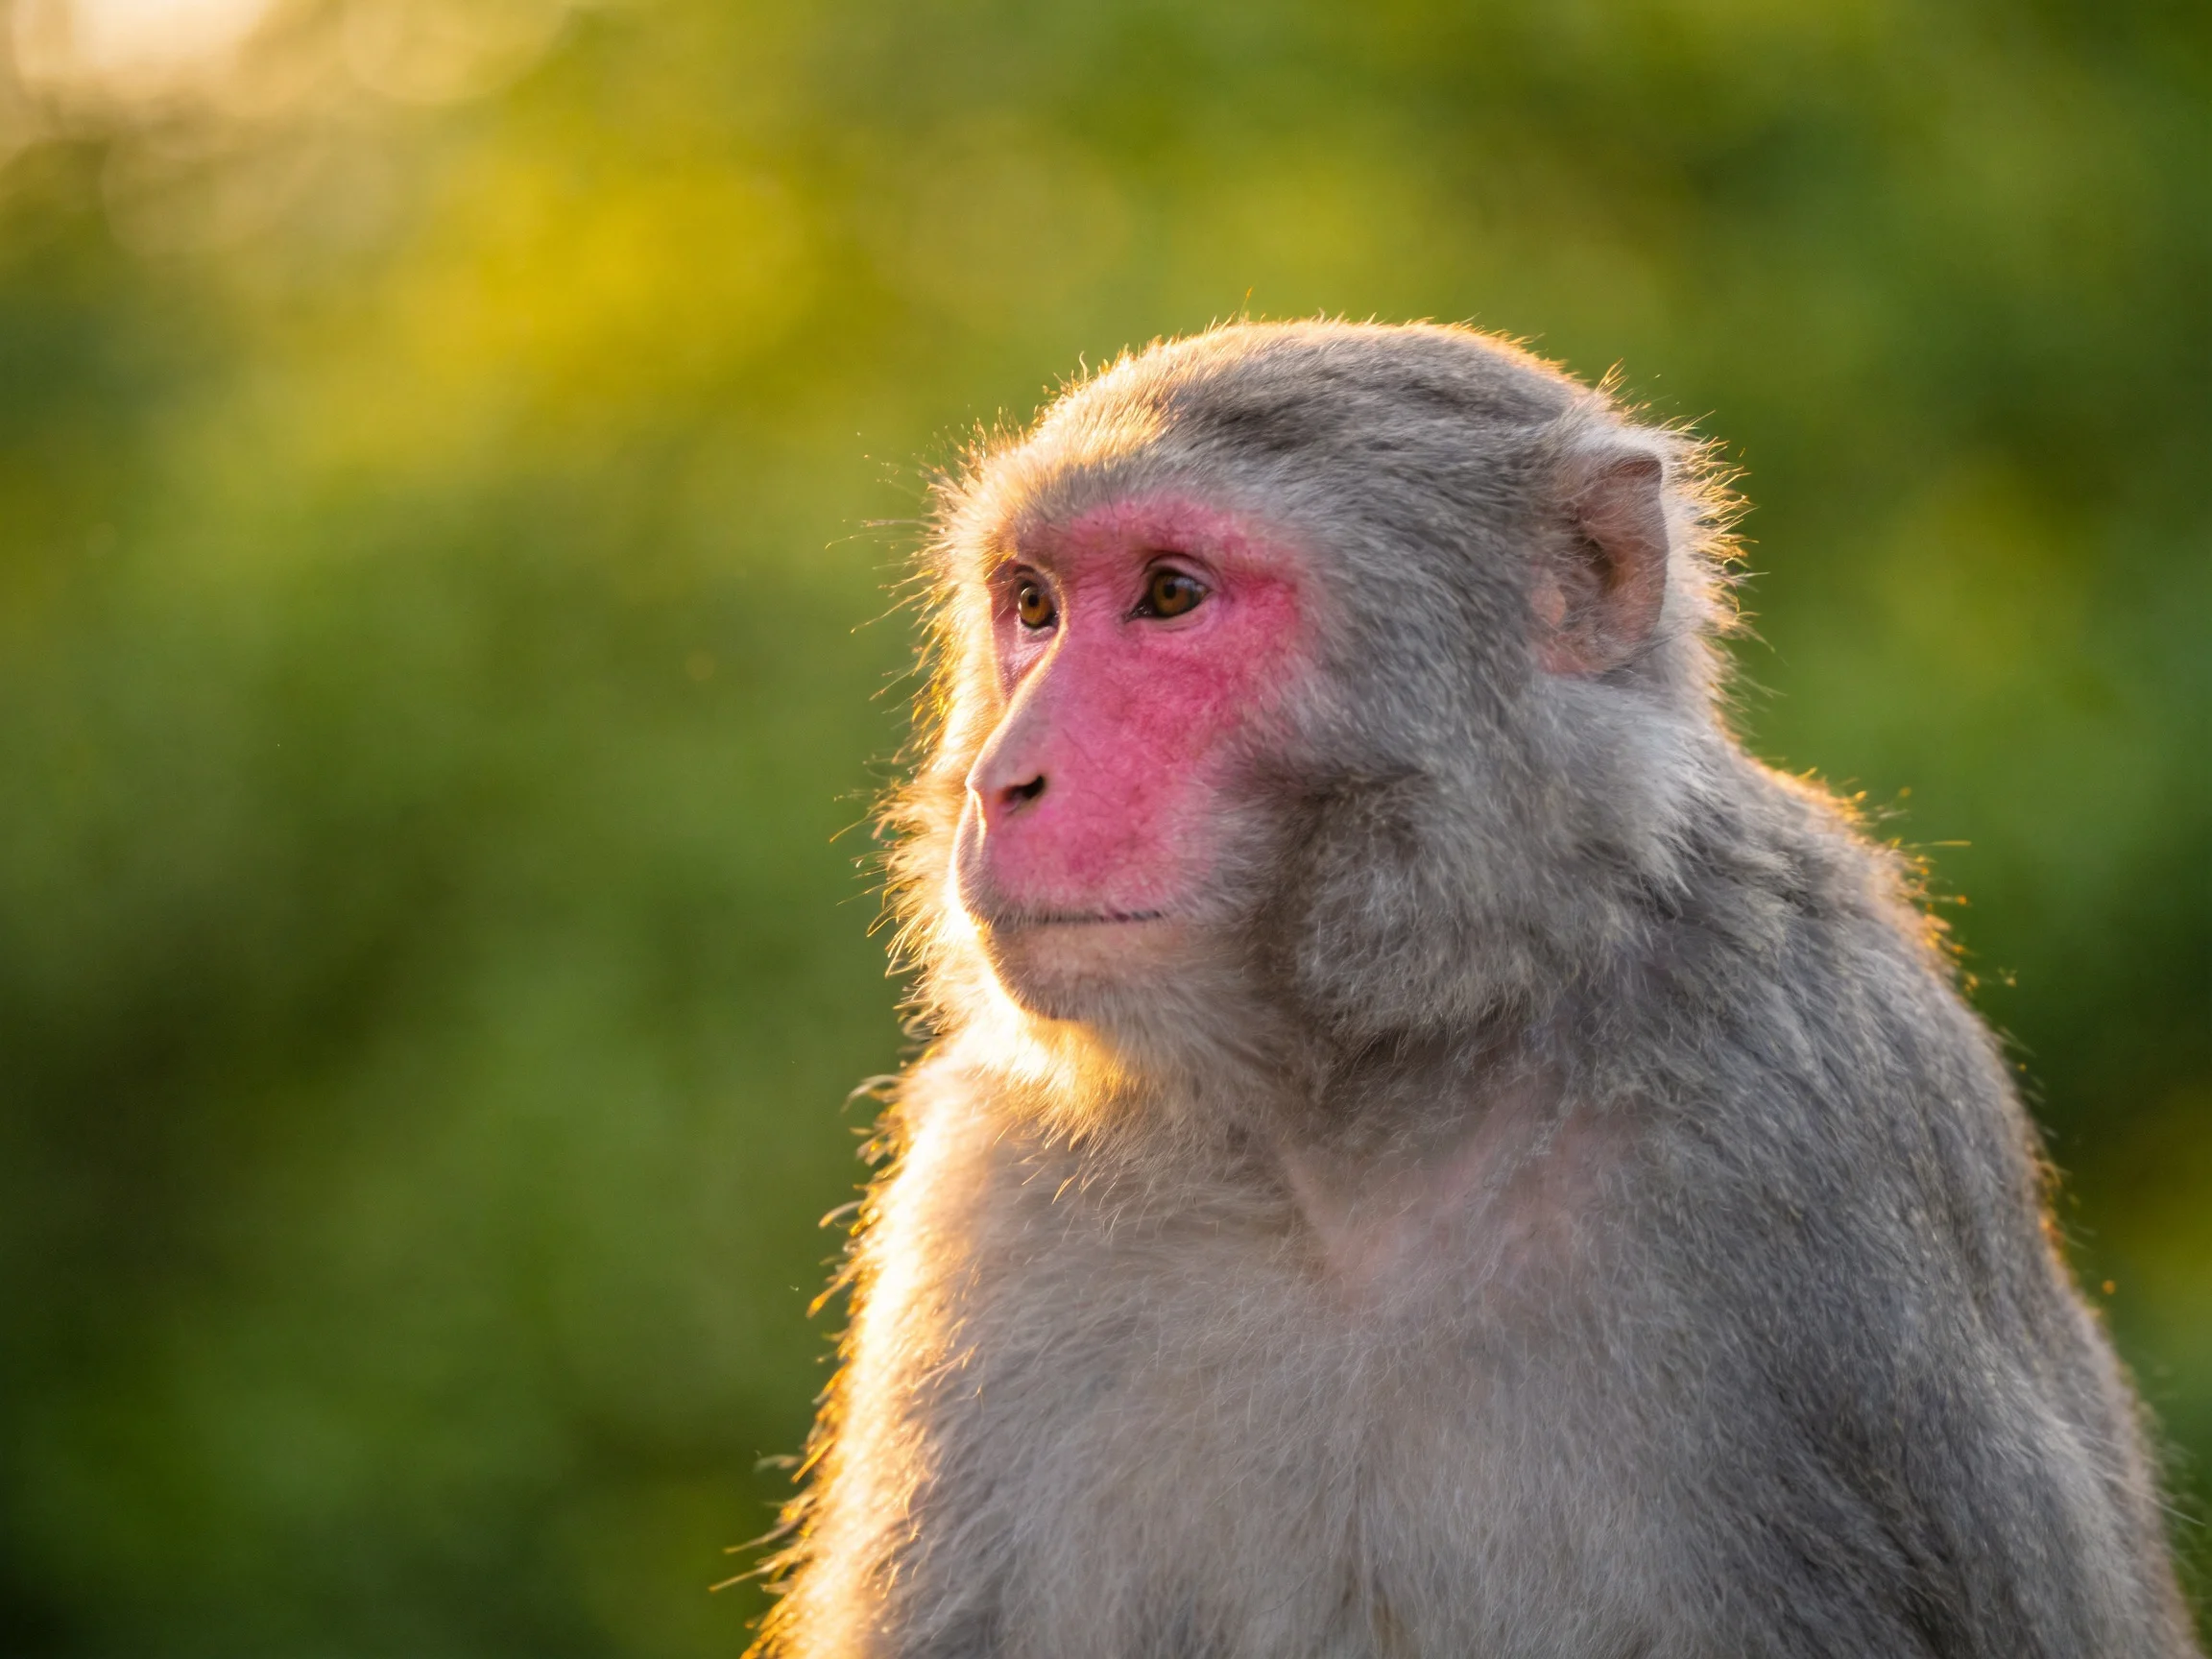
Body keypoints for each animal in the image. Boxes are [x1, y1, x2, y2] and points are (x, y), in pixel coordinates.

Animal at [753, 321, 2200, 1658]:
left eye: (1169, 595)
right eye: (1035, 607)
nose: (1002, 780)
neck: (1371, 1101)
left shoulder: (1811, 1135)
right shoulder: (992, 1194)